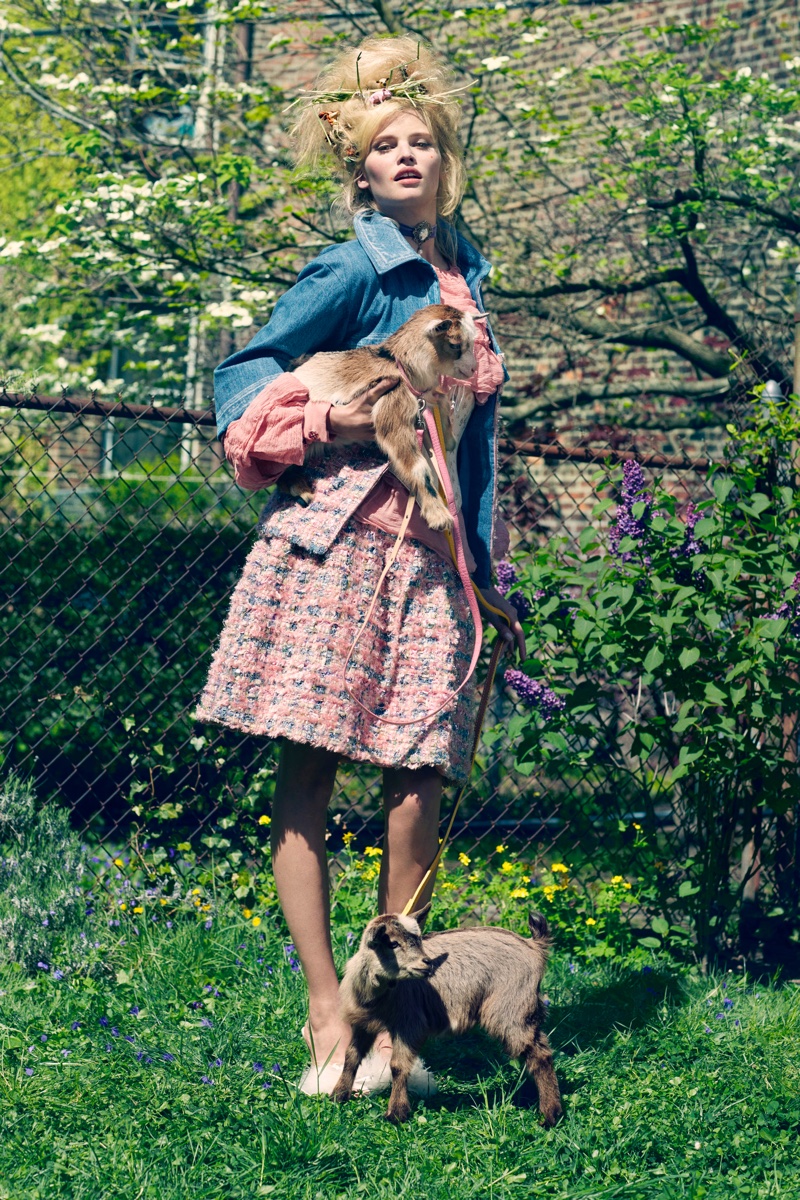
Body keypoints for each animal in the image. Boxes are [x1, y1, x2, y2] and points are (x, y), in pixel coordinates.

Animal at [331, 907, 563, 1123]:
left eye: (418, 940)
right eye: (392, 944)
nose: (427, 963)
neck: (378, 996)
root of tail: (535, 946)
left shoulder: (409, 1024)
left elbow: (398, 1066)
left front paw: (396, 1113)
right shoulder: (363, 1024)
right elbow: (351, 1056)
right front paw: (338, 1095)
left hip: (511, 1010)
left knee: (540, 1055)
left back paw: (550, 1115)